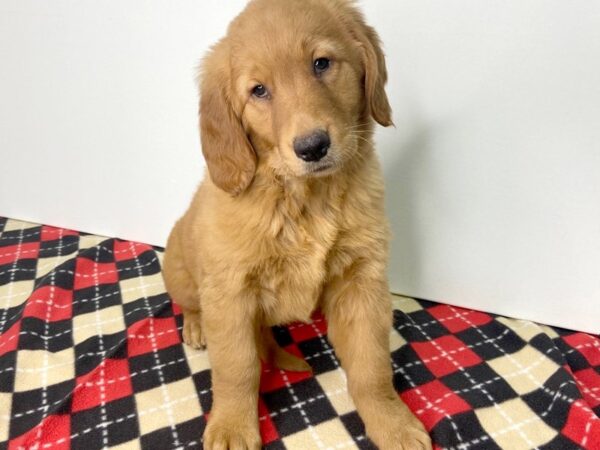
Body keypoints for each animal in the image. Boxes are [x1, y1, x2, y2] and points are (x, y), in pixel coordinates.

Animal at [163, 0, 432, 448]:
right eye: (258, 90)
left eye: (321, 63)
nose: (312, 147)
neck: (305, 198)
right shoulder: (230, 292)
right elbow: (236, 368)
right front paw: (232, 426)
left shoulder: (361, 282)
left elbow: (371, 366)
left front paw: (392, 422)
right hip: (181, 269)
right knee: (190, 303)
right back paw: (196, 325)